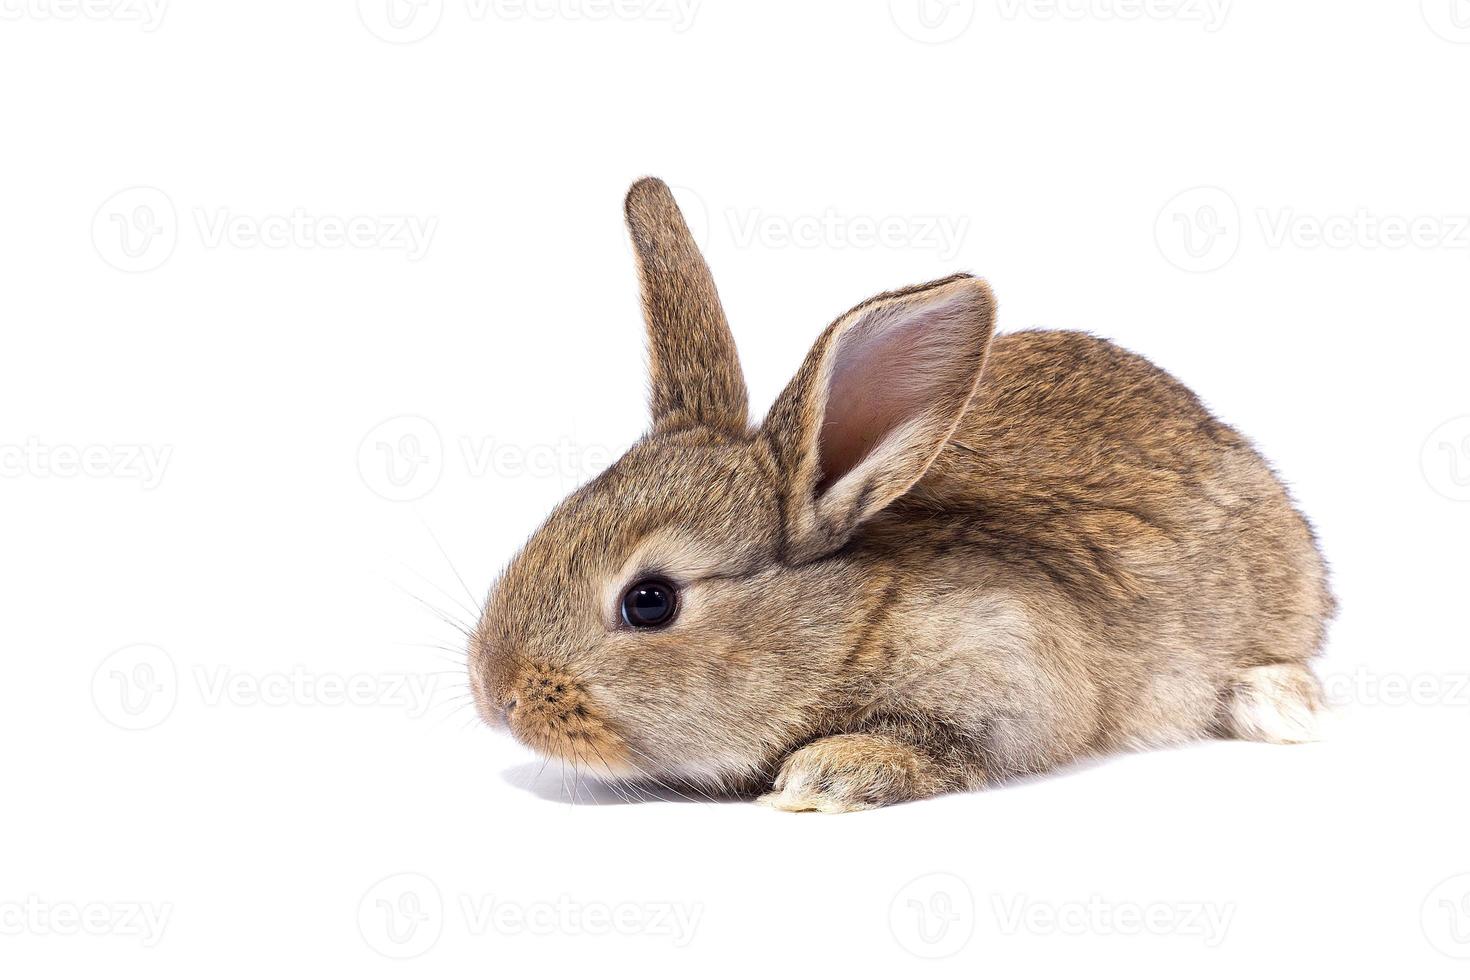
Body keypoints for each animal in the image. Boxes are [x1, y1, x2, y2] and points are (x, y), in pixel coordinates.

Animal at [467, 176, 1334, 811]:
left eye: (650, 602)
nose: (495, 695)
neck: (848, 624)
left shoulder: (1012, 674)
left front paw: (827, 776)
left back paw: (1281, 705)